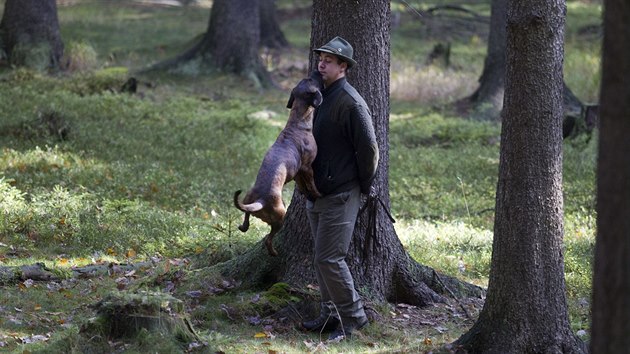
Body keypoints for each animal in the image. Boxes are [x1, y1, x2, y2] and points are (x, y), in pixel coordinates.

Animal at [237, 70, 326, 256]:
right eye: (310, 79)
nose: (317, 70)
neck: (297, 121)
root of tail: (260, 201)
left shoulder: (298, 172)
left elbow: (303, 186)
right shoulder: (307, 167)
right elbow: (312, 184)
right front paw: (317, 193)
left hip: (248, 200)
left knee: (246, 220)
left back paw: (243, 226)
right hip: (280, 217)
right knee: (268, 240)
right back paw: (274, 253)